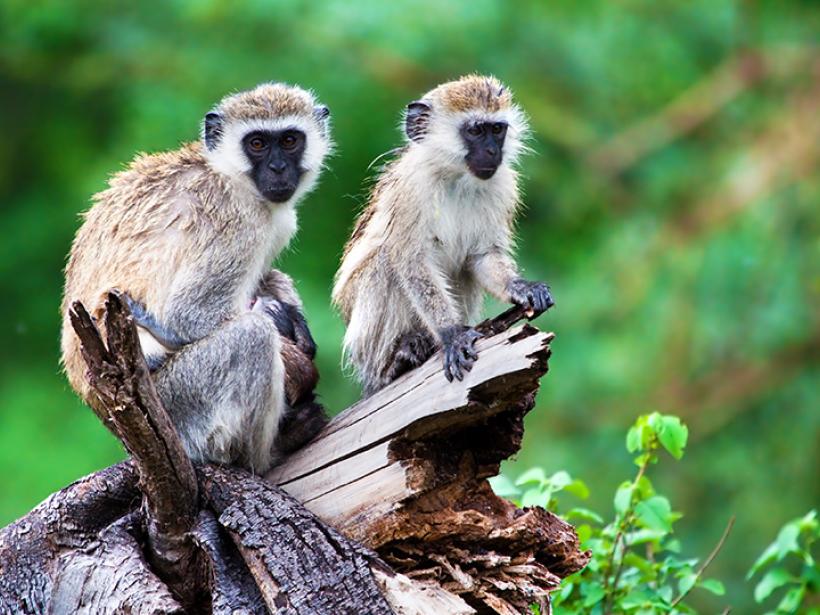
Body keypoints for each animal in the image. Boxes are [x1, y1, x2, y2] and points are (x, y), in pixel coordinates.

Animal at [61, 83, 334, 472]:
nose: (279, 168)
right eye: (257, 143)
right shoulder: (239, 224)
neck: (228, 174)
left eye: (290, 140)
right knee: (251, 336)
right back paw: (267, 453)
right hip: (179, 404)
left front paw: (295, 322)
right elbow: (189, 315)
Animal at [332, 76, 552, 394]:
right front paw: (452, 334)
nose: (493, 152)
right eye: (475, 130)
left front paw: (521, 287)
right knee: (385, 262)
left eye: (497, 130)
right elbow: (411, 262)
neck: (456, 177)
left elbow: (482, 257)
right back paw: (395, 361)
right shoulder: (411, 188)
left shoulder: (502, 186)